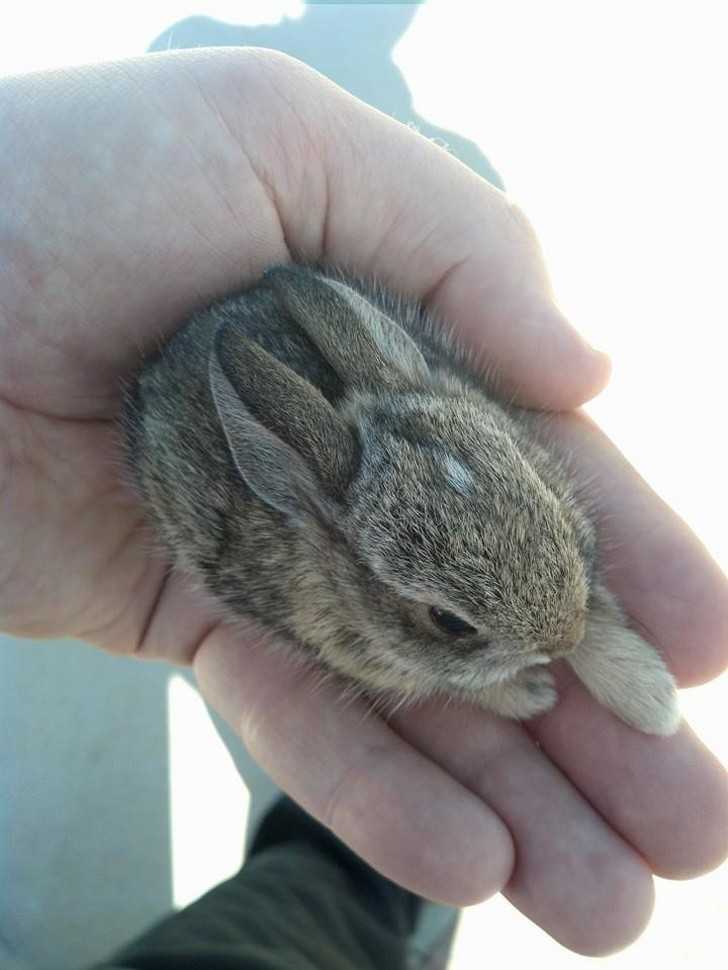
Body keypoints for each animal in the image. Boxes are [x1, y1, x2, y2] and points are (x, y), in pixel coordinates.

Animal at [122, 264, 680, 732]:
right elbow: (460, 686)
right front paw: (535, 694)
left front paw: (653, 701)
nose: (564, 638)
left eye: (546, 499)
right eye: (449, 622)